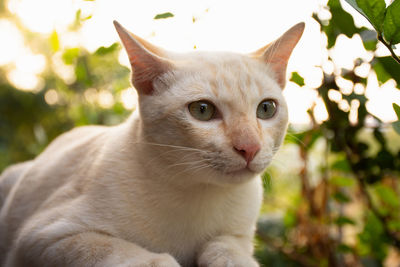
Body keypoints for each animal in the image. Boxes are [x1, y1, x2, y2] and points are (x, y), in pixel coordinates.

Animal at [0, 19, 304, 266]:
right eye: (202, 110)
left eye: (266, 109)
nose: (249, 147)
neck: (198, 194)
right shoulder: (45, 237)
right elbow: (124, 252)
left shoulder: (238, 236)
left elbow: (225, 249)